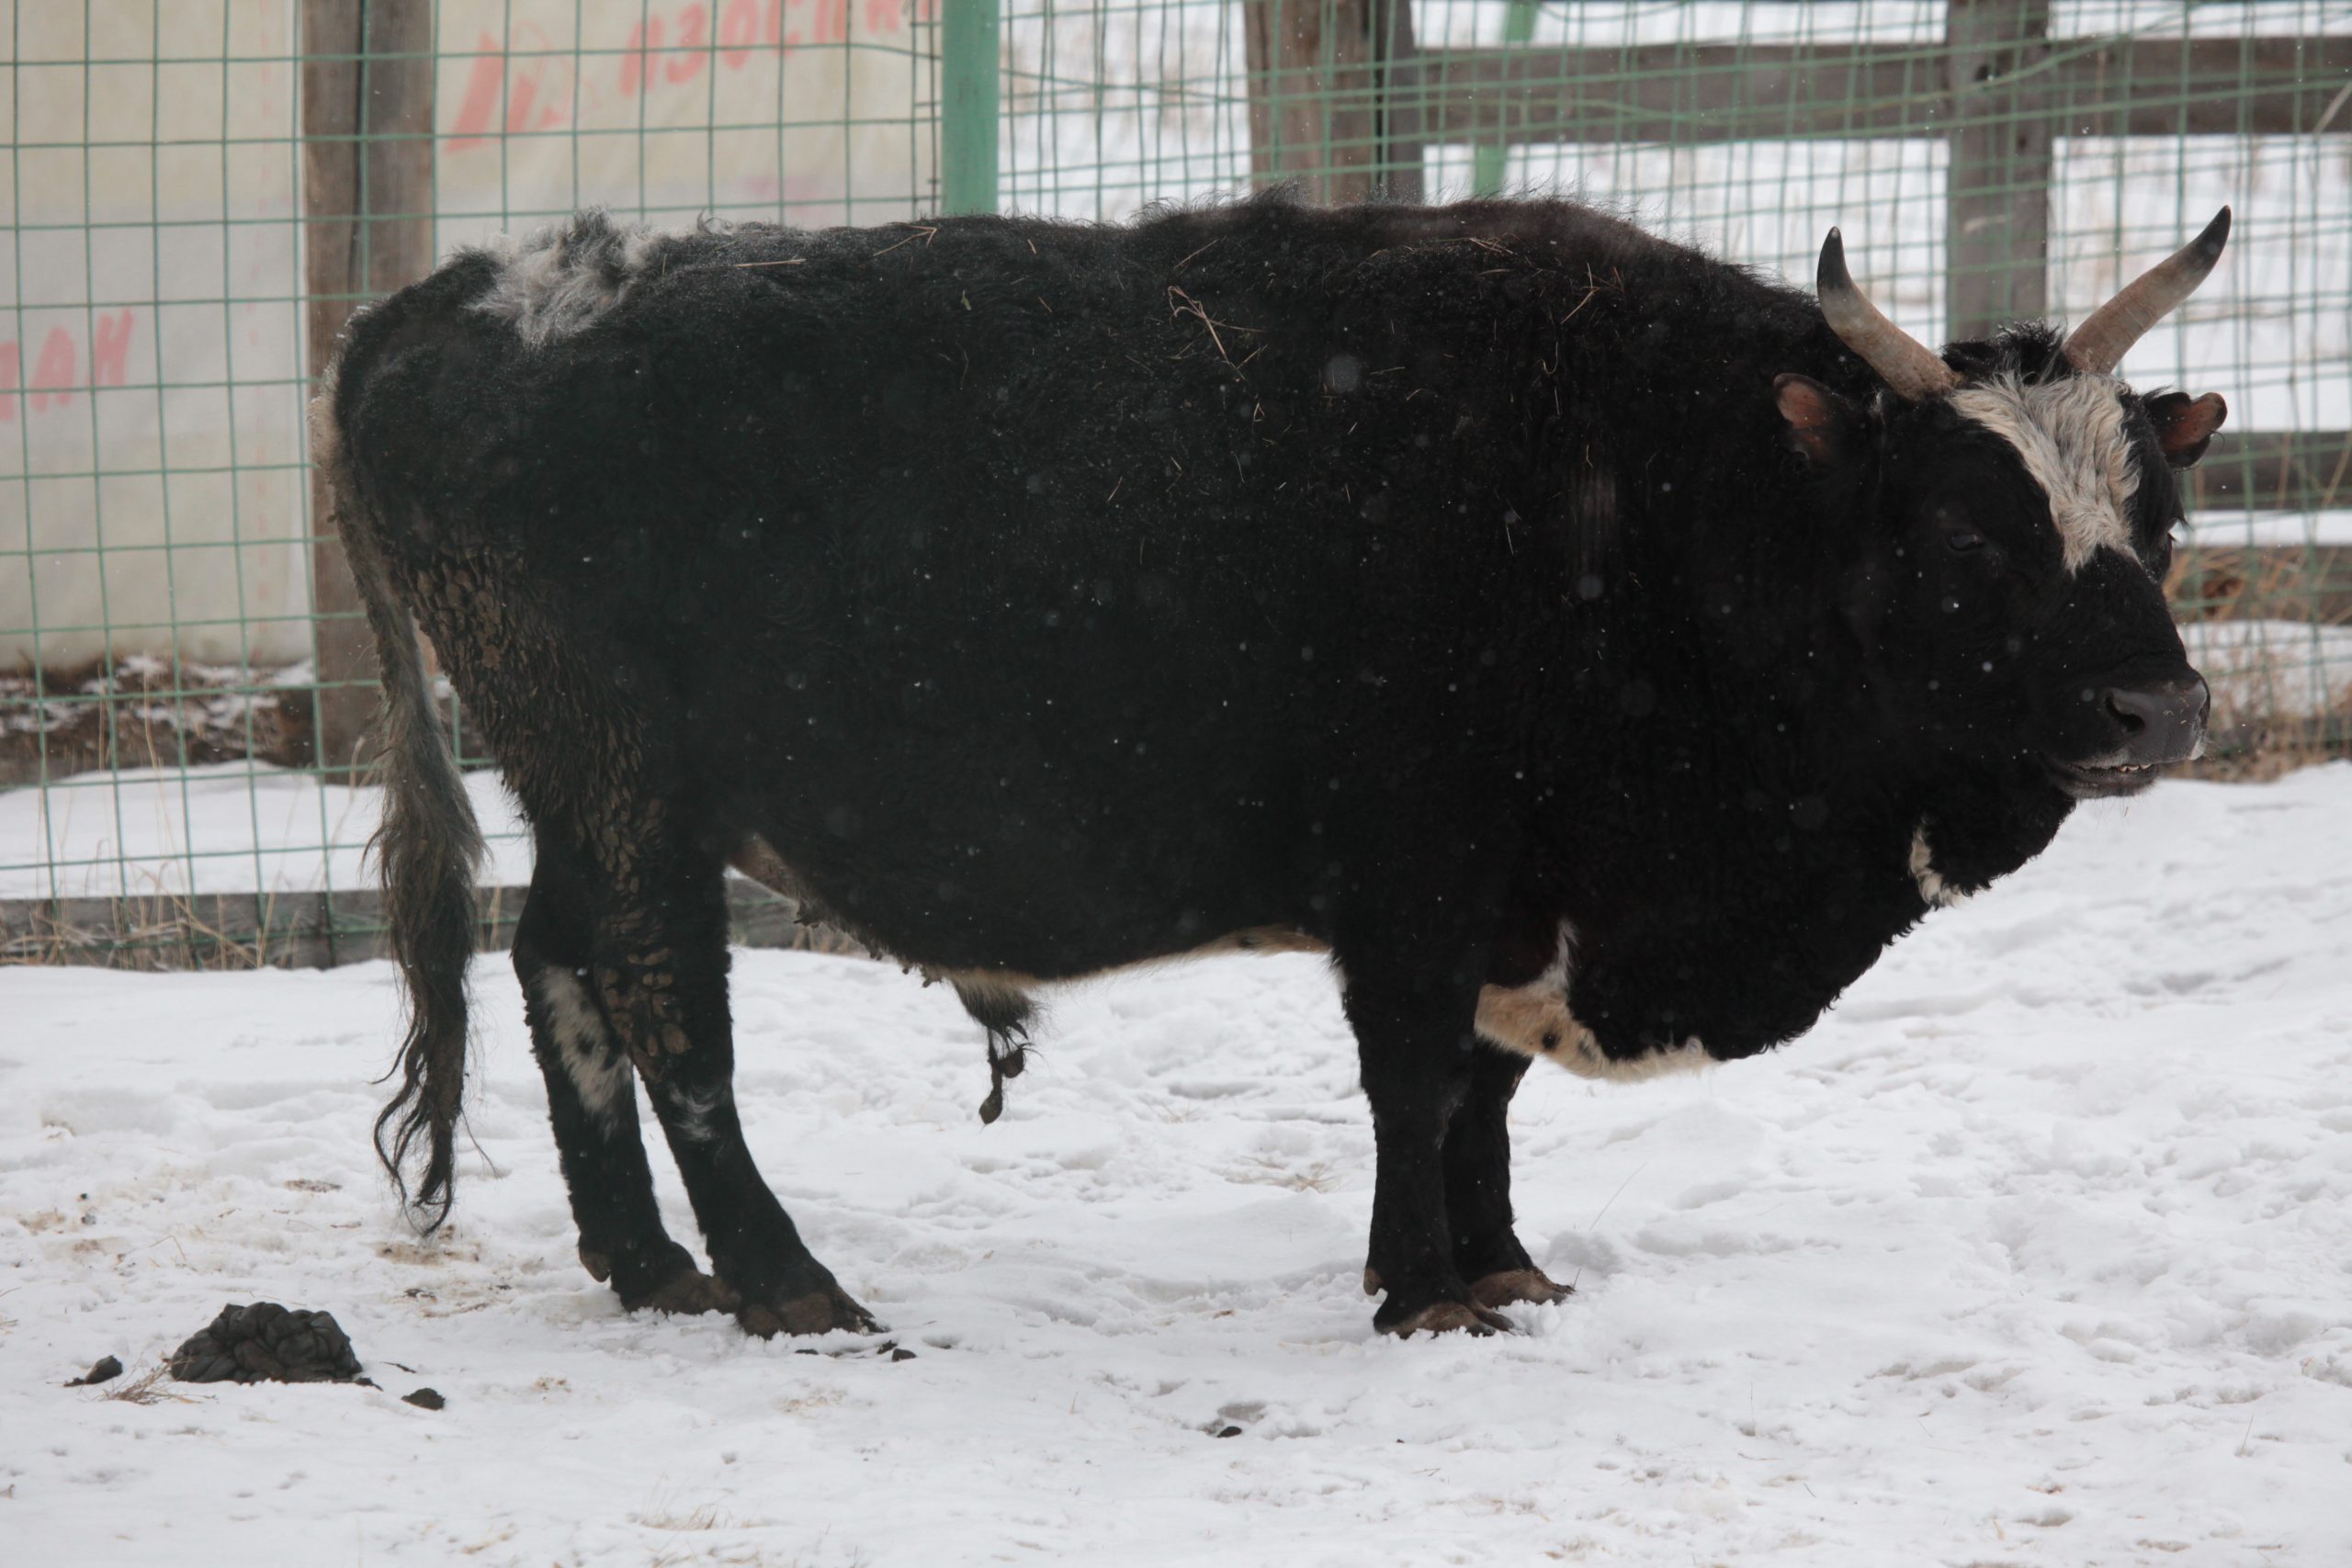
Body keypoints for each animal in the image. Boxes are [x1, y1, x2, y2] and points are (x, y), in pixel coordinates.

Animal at [326, 192, 2220, 1335]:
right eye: (1967, 539)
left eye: (2157, 520)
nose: (2163, 710)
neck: (1655, 492)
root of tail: (473, 289)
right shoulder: (1420, 879)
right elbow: (1413, 1076)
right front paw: (1424, 1287)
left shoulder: (1518, 896)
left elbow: (1480, 1093)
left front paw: (1503, 1263)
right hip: (631, 781)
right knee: (666, 1007)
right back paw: (786, 1278)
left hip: (596, 795)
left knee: (556, 962)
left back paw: (648, 1263)